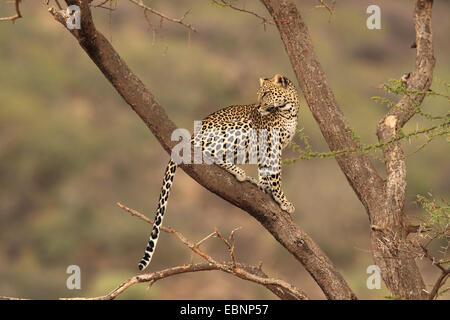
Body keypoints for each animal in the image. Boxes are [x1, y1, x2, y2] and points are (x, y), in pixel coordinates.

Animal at [137, 74, 298, 270]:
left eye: (266, 93)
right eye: (259, 94)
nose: (258, 107)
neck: (288, 110)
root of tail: (192, 135)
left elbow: (266, 173)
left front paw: (266, 189)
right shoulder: (270, 143)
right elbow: (276, 176)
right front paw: (284, 201)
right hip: (240, 129)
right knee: (209, 150)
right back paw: (240, 173)